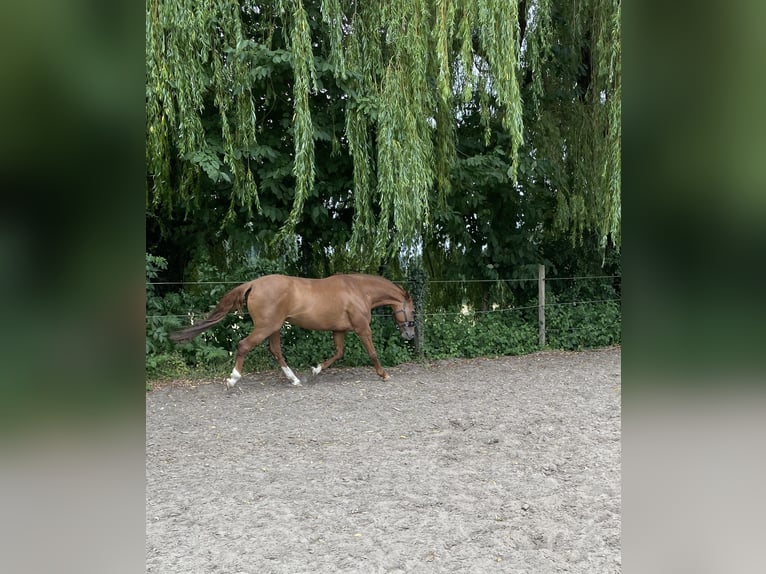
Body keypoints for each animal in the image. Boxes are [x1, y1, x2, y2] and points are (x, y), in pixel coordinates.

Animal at [170, 274, 416, 388]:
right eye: (412, 311)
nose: (410, 335)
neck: (358, 290)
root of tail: (253, 284)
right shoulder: (362, 328)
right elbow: (372, 353)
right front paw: (384, 374)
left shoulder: (338, 330)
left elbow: (338, 353)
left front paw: (315, 370)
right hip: (266, 327)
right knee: (244, 346)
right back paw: (233, 380)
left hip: (274, 328)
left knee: (275, 351)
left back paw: (295, 380)